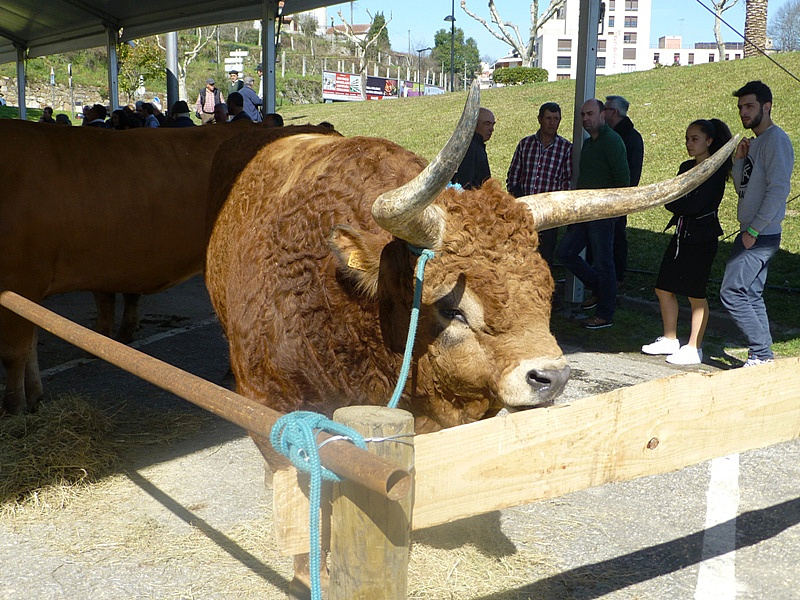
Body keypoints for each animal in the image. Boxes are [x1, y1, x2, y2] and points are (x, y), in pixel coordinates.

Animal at [0, 119, 336, 414]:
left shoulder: (20, 279)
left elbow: (14, 352)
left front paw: (13, 406)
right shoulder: (26, 288)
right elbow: (29, 347)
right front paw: (33, 397)